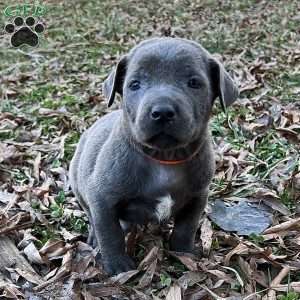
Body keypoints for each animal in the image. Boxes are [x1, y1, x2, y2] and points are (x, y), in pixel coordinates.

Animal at [68, 37, 239, 274]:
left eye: (194, 83)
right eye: (134, 84)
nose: (162, 112)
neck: (165, 157)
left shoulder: (198, 197)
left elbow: (186, 227)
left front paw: (184, 252)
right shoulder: (101, 198)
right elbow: (109, 233)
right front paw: (118, 265)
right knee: (93, 218)